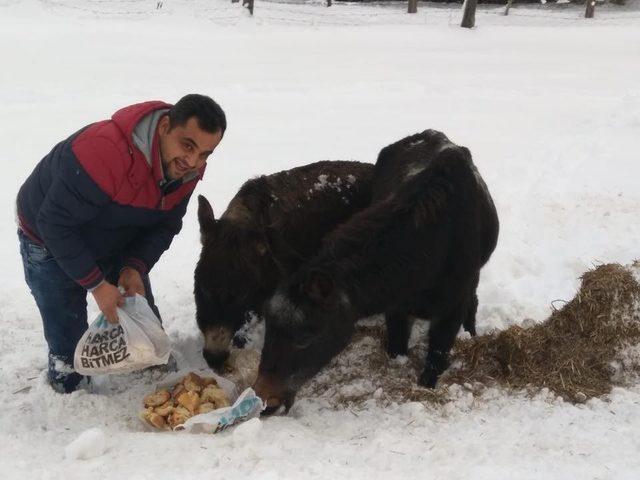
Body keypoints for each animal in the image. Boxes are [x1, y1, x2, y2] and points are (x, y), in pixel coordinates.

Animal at [255, 130, 500, 412]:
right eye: (269, 327)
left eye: (306, 337)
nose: (265, 400)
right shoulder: (396, 308)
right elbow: (396, 349)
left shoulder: (451, 310)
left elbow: (435, 361)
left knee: (474, 300)